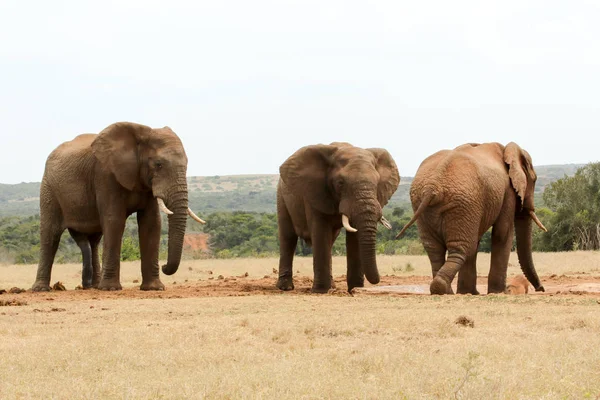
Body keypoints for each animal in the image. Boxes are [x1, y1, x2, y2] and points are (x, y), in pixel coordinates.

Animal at [32, 120, 206, 292]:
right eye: (158, 165)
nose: (164, 266)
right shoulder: (105, 175)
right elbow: (114, 221)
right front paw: (110, 288)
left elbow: (152, 223)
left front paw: (153, 288)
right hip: (48, 188)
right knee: (50, 235)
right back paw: (41, 289)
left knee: (94, 240)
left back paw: (94, 286)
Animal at [276, 142, 398, 292]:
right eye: (340, 183)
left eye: (377, 183)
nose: (378, 281)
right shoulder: (315, 193)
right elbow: (320, 231)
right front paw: (320, 291)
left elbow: (354, 237)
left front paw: (355, 289)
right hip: (282, 197)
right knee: (288, 237)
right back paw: (285, 287)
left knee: (330, 240)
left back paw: (332, 286)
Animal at [396, 142, 548, 296]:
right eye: (534, 180)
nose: (541, 289)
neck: (508, 150)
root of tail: (432, 187)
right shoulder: (508, 192)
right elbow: (502, 233)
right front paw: (499, 292)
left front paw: (469, 292)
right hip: (462, 204)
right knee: (463, 248)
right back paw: (443, 289)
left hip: (426, 204)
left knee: (436, 249)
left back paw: (445, 291)